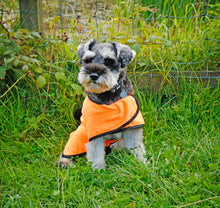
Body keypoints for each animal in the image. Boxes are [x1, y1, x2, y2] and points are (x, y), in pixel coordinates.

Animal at [58, 39, 146, 170]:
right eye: (88, 60)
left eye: (108, 61)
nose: (93, 75)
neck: (108, 95)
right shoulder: (95, 131)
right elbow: (95, 152)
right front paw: (98, 169)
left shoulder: (132, 128)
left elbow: (136, 148)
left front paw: (142, 164)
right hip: (78, 135)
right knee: (69, 149)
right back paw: (65, 162)